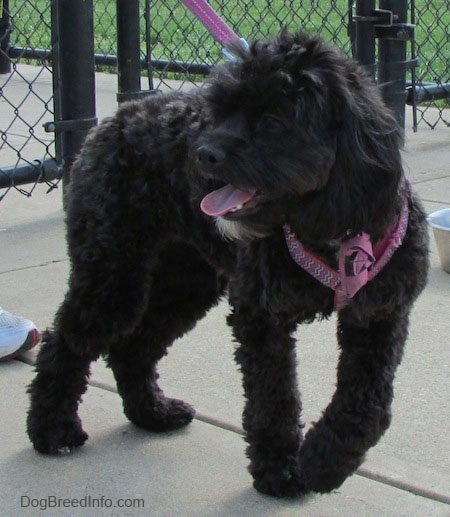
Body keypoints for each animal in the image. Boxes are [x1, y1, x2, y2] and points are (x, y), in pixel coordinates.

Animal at [27, 31, 428, 496]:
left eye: (273, 119)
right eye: (223, 111)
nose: (203, 154)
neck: (332, 231)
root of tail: (113, 120)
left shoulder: (379, 316)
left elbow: (368, 404)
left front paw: (324, 463)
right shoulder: (260, 316)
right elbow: (273, 398)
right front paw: (281, 471)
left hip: (186, 282)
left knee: (133, 347)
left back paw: (153, 413)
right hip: (112, 275)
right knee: (64, 343)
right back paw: (52, 431)